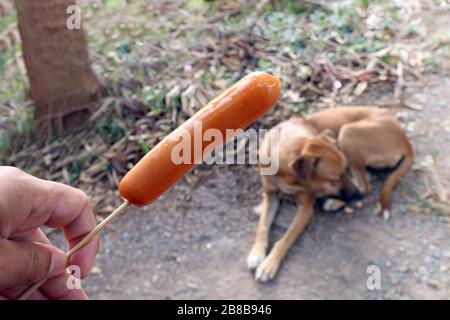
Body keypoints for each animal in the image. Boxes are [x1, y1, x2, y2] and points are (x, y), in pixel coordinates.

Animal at [248, 106, 414, 282]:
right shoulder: (270, 194)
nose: (359, 196)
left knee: (365, 185)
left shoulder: (306, 209)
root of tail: (405, 139)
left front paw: (269, 264)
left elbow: (287, 237)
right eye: (336, 179)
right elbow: (262, 225)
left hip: (348, 132)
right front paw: (256, 252)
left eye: (343, 172)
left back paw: (334, 202)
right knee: (367, 180)